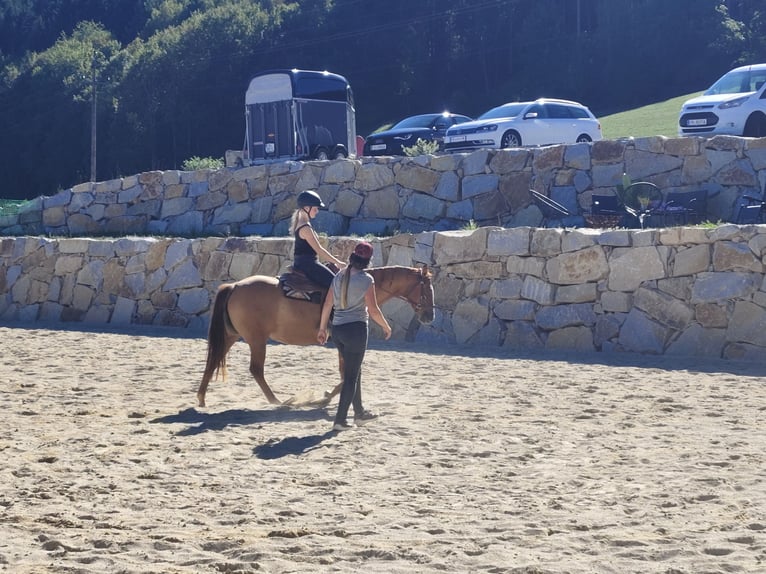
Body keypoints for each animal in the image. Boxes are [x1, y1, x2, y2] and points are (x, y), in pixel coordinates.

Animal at [197, 265, 434, 407]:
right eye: (426, 289)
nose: (429, 316)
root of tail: (235, 285)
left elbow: (345, 371)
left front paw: (328, 395)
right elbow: (347, 372)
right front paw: (326, 396)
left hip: (232, 336)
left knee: (213, 360)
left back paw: (201, 398)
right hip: (256, 339)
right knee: (255, 369)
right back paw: (278, 400)